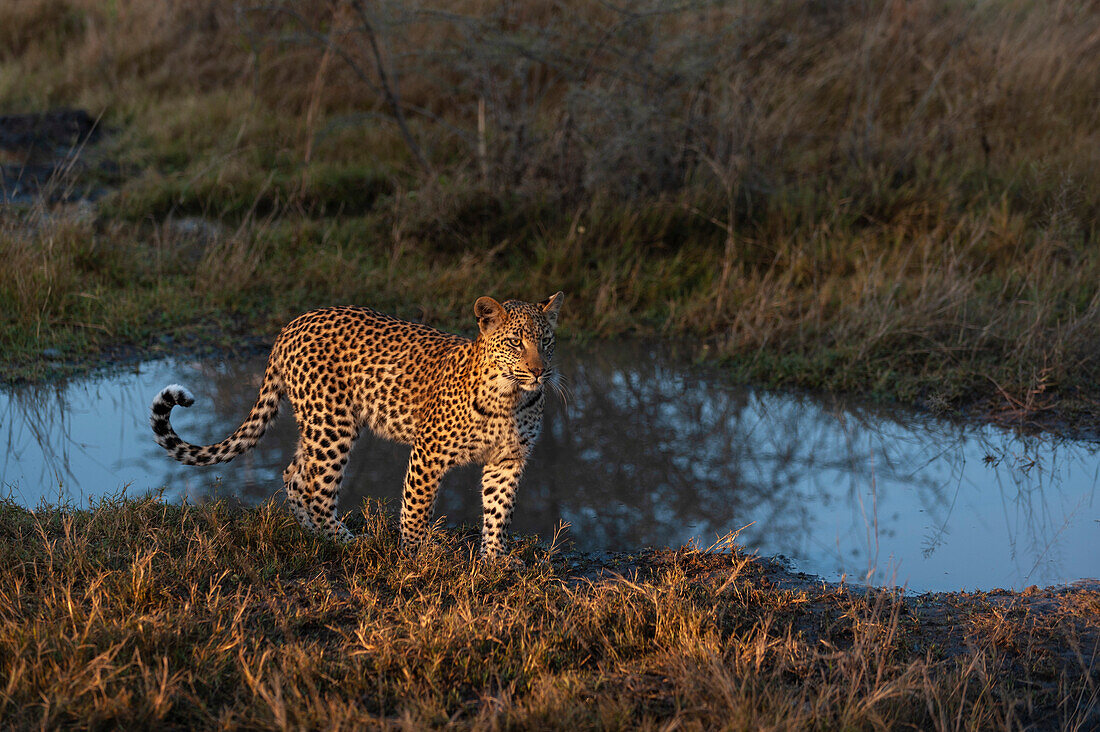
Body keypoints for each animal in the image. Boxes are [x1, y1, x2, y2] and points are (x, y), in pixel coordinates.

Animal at [150, 290, 563, 554]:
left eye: (546, 341)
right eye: (515, 343)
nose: (540, 371)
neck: (512, 396)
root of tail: (291, 325)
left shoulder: (508, 459)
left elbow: (499, 510)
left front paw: (495, 562)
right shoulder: (428, 453)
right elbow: (416, 508)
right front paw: (415, 556)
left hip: (318, 423)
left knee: (294, 474)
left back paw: (315, 536)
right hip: (333, 424)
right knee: (315, 488)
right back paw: (347, 542)